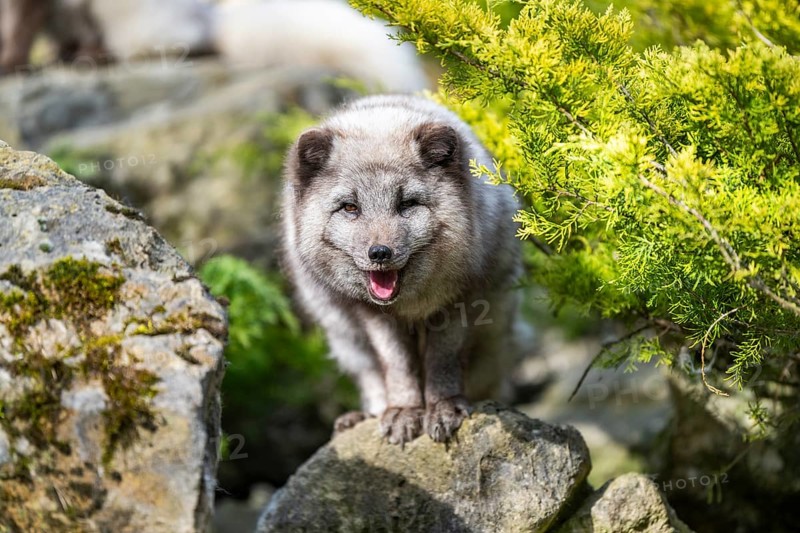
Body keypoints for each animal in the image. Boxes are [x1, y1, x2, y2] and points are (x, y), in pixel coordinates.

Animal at [281, 95, 527, 444]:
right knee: (373, 379)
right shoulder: (373, 316)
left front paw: (444, 407)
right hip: (347, 341)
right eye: (350, 207)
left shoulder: (460, 300)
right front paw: (404, 411)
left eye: (407, 204)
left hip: (494, 339)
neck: (412, 305)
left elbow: (443, 361)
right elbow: (397, 367)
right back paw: (364, 417)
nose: (379, 253)